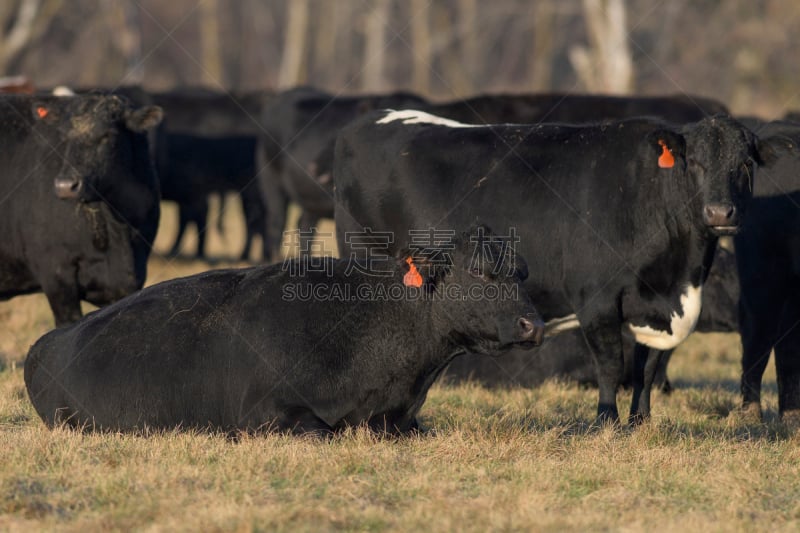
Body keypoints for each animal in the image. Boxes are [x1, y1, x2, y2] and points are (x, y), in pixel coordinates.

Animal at [28, 224, 548, 436]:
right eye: (479, 271)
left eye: (522, 273)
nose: (534, 324)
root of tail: (47, 343)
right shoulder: (264, 415)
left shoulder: (399, 419)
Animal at [336, 109, 776, 424]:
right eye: (695, 162)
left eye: (745, 165)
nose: (719, 212)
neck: (678, 276)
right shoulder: (596, 297)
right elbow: (611, 362)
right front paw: (606, 423)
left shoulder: (656, 307)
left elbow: (648, 367)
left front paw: (640, 423)